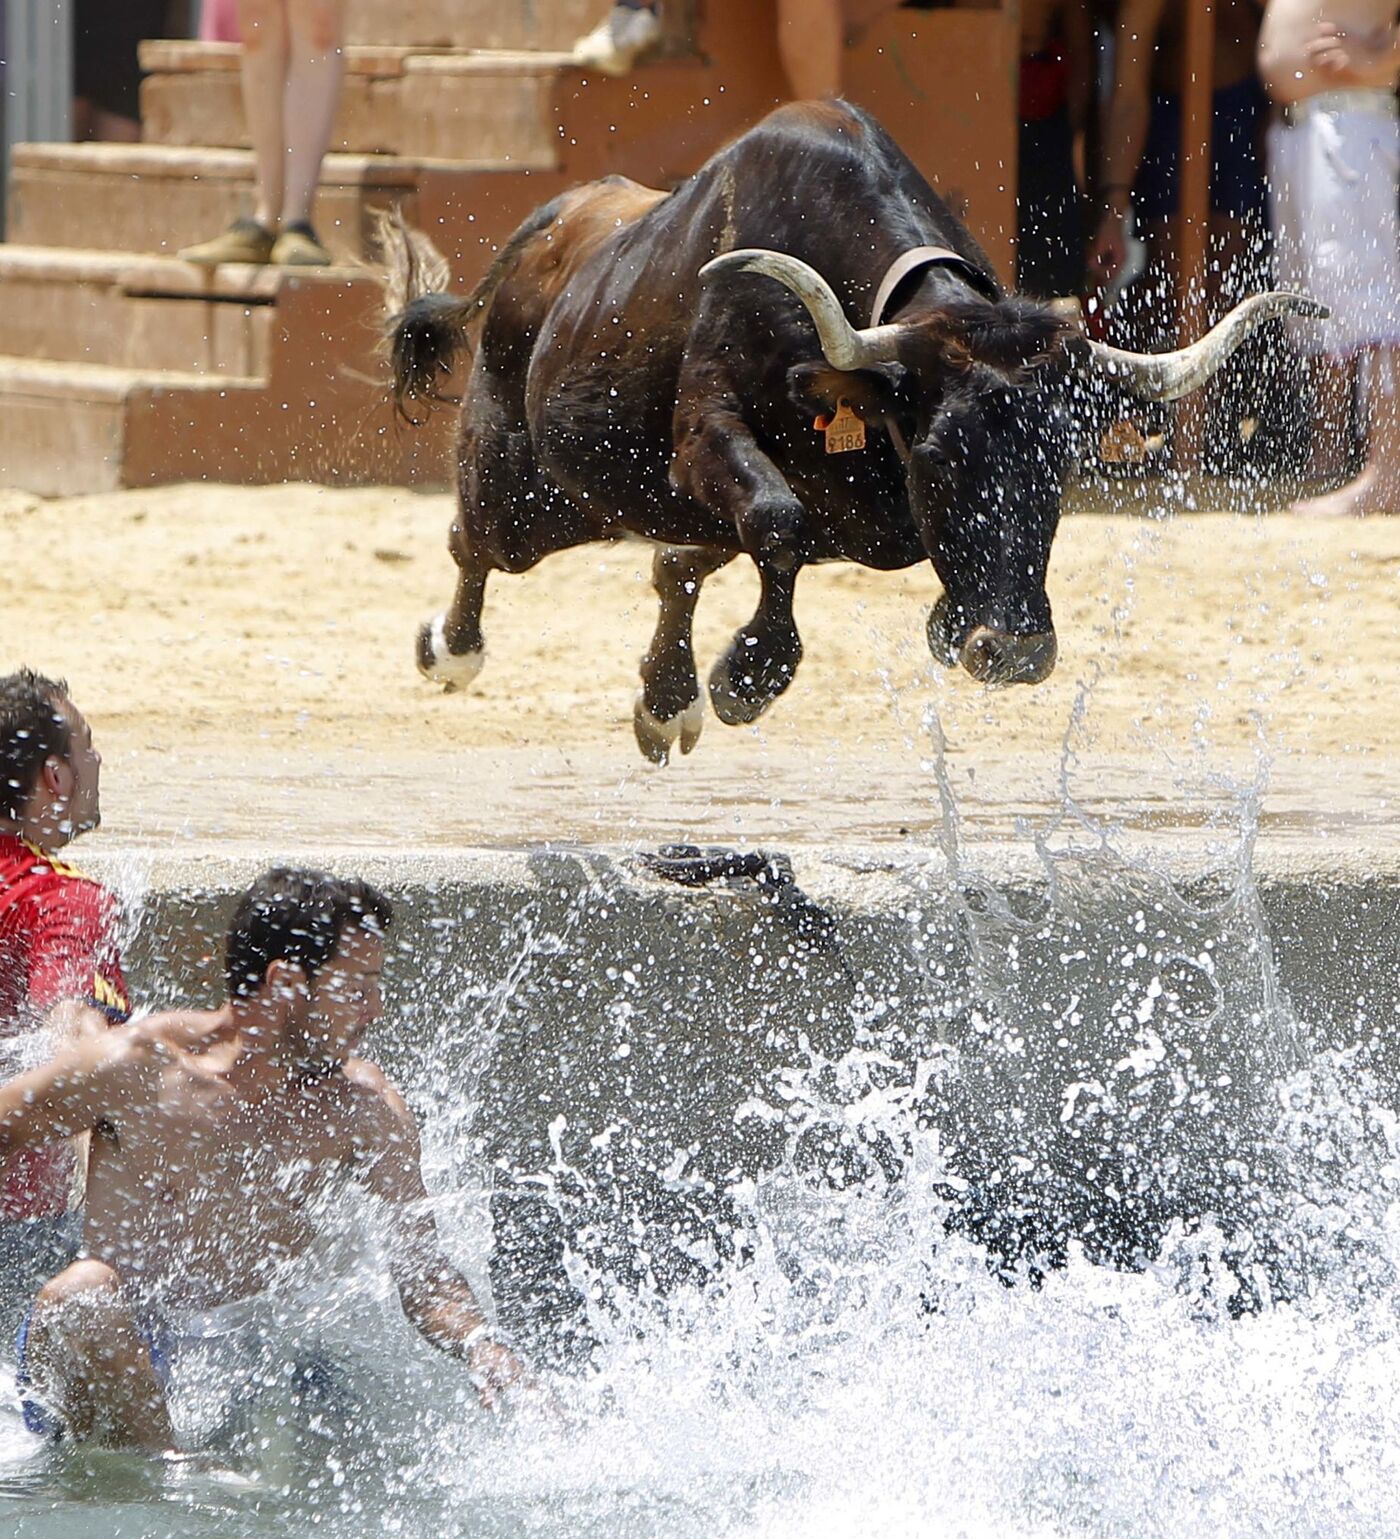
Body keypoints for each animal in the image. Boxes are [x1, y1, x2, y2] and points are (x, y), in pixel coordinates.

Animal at [383, 102, 1329, 763]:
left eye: (1058, 466)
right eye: (942, 455)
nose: (1016, 652)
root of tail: (543, 234)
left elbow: (752, 547)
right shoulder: (707, 432)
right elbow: (778, 520)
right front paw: (751, 672)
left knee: (671, 564)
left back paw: (663, 699)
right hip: (531, 493)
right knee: (475, 541)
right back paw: (450, 650)